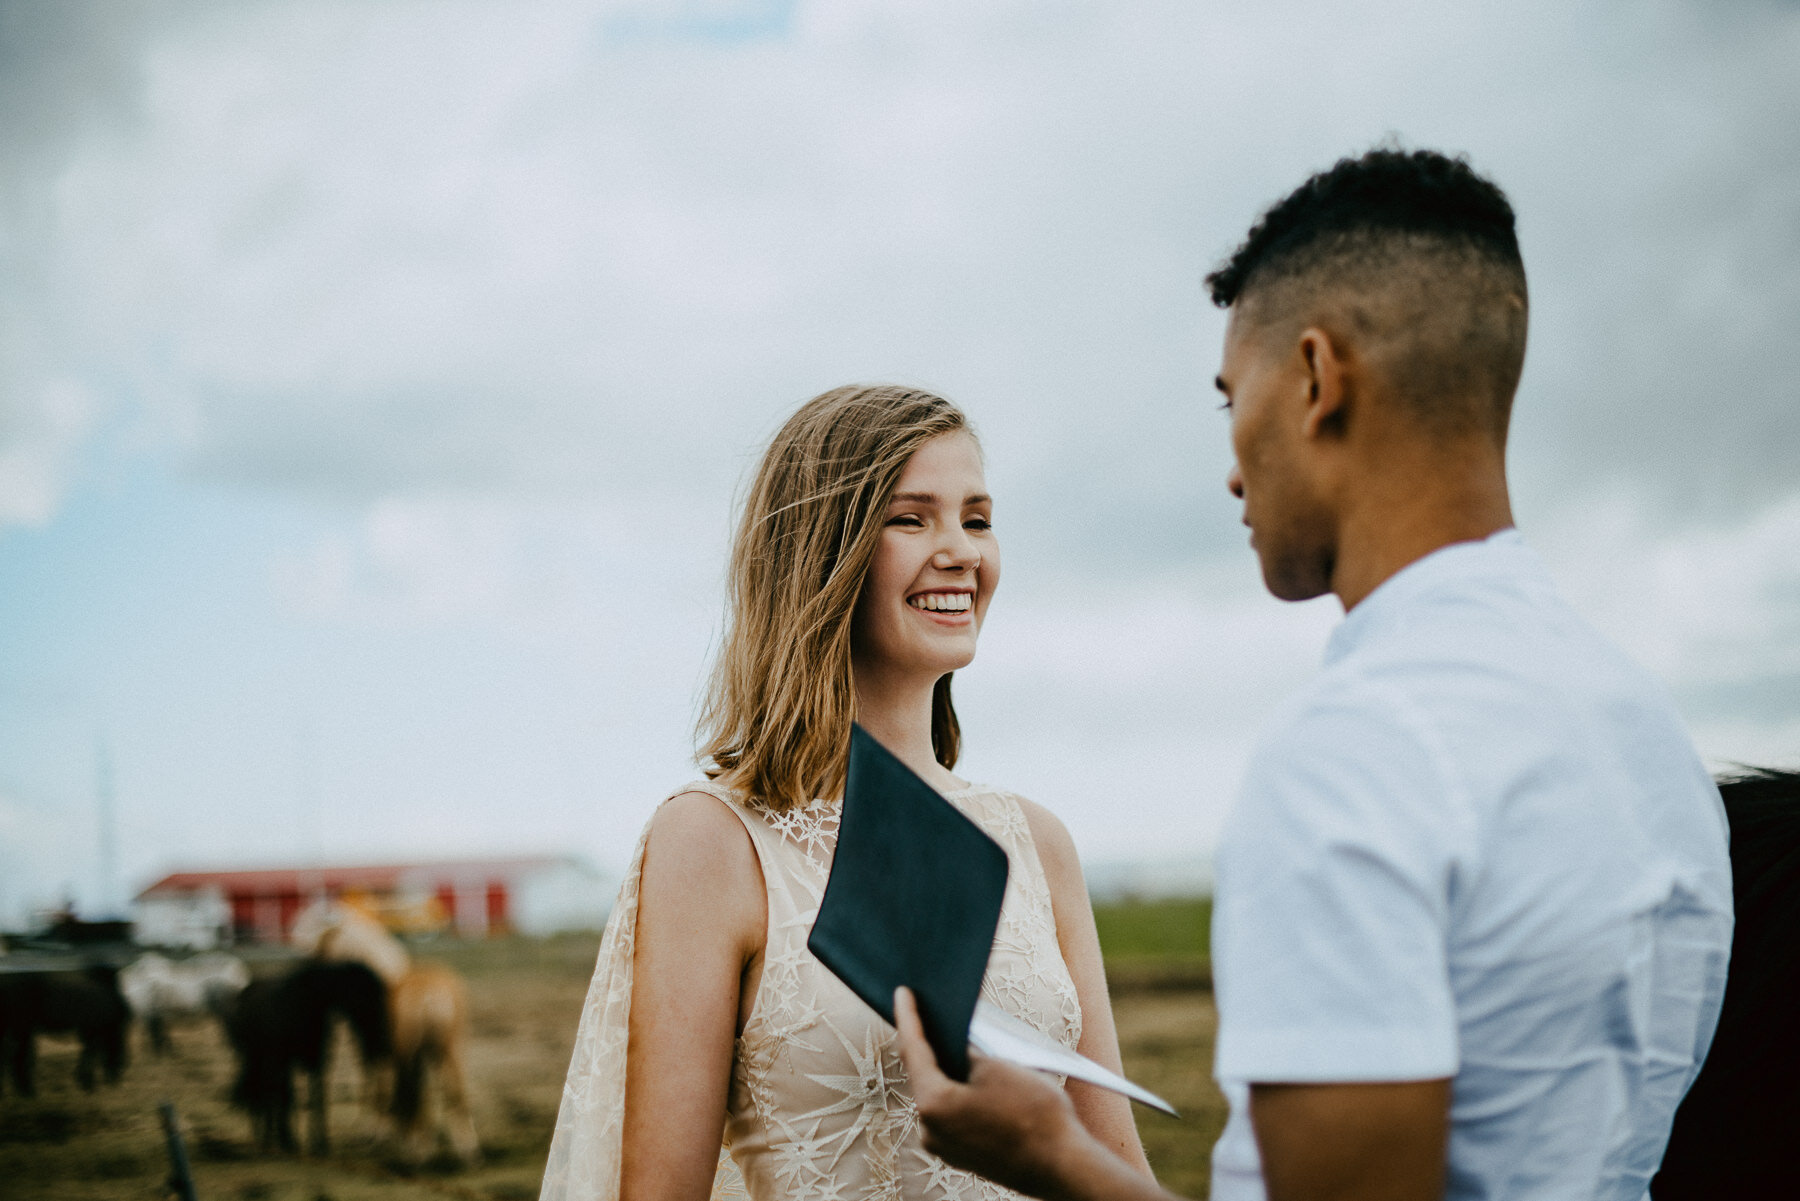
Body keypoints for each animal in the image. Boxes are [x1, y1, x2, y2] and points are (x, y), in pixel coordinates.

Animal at [0, 965, 130, 1094]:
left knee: (15, 1056)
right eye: (119, 1053)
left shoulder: (87, 1030)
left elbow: (88, 1052)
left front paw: (82, 1079)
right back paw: (27, 1090)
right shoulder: (92, 1029)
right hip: (22, 1028)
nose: (116, 1078)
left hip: (20, 1029)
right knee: (18, 1056)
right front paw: (87, 1083)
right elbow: (91, 1053)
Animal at [223, 957, 392, 1152]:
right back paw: (268, 1138)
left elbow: (318, 1099)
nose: (379, 1040)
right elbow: (289, 1098)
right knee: (265, 1091)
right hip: (262, 1058)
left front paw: (320, 1143)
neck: (307, 1005)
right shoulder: (288, 1061)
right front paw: (290, 1141)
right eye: (365, 995)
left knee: (266, 1090)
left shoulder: (317, 1062)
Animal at [291, 893, 482, 1166]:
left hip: (414, 1053)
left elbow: (379, 1086)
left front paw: (378, 1132)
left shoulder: (377, 1050)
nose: (304, 964)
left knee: (415, 1091)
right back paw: (464, 1149)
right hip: (448, 1048)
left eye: (314, 927)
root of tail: (431, 996)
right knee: (452, 1090)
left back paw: (417, 1149)